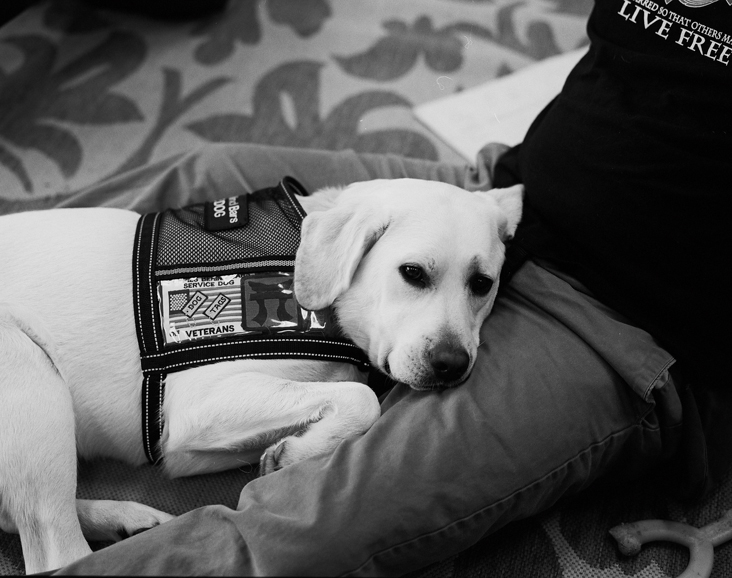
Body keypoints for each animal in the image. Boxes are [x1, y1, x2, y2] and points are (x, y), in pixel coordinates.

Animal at [0, 177, 520, 572]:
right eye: (411, 273)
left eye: (482, 284)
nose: (452, 364)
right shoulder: (200, 405)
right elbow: (361, 398)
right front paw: (300, 453)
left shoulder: (188, 449)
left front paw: (291, 451)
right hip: (29, 373)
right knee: (54, 553)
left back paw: (123, 520)